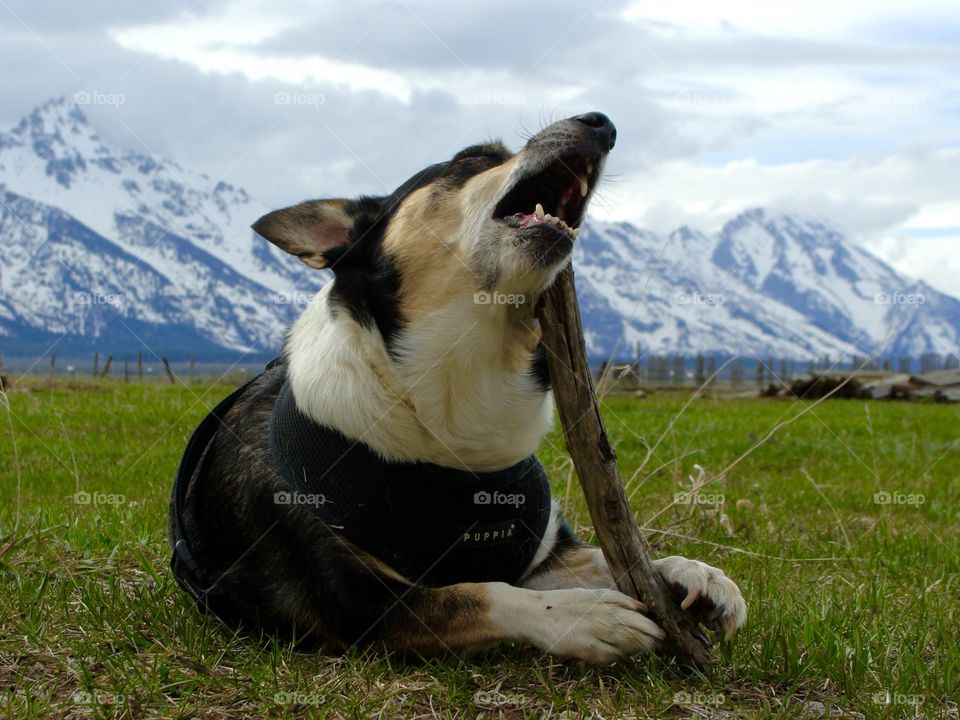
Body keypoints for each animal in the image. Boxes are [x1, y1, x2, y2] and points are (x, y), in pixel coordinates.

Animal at [169, 109, 748, 668]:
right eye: (473, 158)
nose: (602, 123)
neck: (464, 380)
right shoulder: (359, 609)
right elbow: (483, 592)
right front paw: (584, 617)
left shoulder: (539, 554)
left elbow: (609, 559)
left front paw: (690, 573)